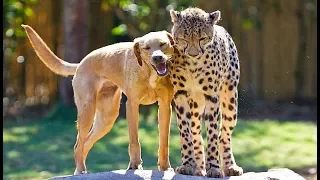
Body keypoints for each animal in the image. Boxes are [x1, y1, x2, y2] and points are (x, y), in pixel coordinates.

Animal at [21, 23, 175, 174]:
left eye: (162, 44)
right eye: (146, 48)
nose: (157, 58)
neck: (150, 73)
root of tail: (81, 63)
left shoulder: (165, 107)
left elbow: (164, 142)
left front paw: (165, 167)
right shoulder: (132, 105)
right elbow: (134, 140)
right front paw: (135, 165)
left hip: (106, 119)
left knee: (86, 143)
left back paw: (80, 170)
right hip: (87, 111)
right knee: (78, 145)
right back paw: (81, 170)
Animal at [169, 7, 244, 177]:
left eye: (202, 38)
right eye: (183, 38)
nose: (193, 53)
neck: (193, 64)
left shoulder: (212, 96)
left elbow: (212, 135)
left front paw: (214, 168)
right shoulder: (180, 95)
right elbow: (186, 133)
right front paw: (188, 165)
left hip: (230, 101)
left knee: (224, 135)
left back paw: (230, 166)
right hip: (195, 105)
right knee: (196, 133)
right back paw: (199, 168)